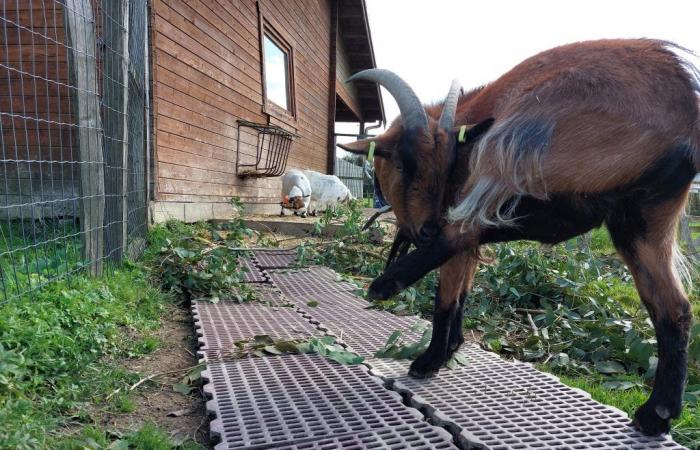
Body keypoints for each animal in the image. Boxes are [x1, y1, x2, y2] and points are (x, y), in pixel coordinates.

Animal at [336, 39, 696, 436]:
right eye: (401, 163)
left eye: (443, 167)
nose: (427, 230)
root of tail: (685, 104)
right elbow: (462, 291)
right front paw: (451, 348)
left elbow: (446, 296)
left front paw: (429, 361)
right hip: (643, 219)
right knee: (673, 308)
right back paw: (657, 414)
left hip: (519, 143)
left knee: (470, 225)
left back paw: (385, 284)